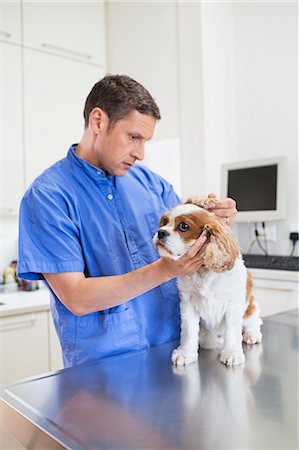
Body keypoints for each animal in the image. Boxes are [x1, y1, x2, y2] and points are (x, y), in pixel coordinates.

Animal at [154, 197, 264, 366]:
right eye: (164, 222)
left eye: (183, 226)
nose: (160, 232)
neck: (203, 271)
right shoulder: (188, 304)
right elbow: (189, 331)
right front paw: (186, 353)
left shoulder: (233, 305)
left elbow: (232, 331)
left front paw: (232, 353)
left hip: (250, 306)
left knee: (254, 320)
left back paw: (252, 334)